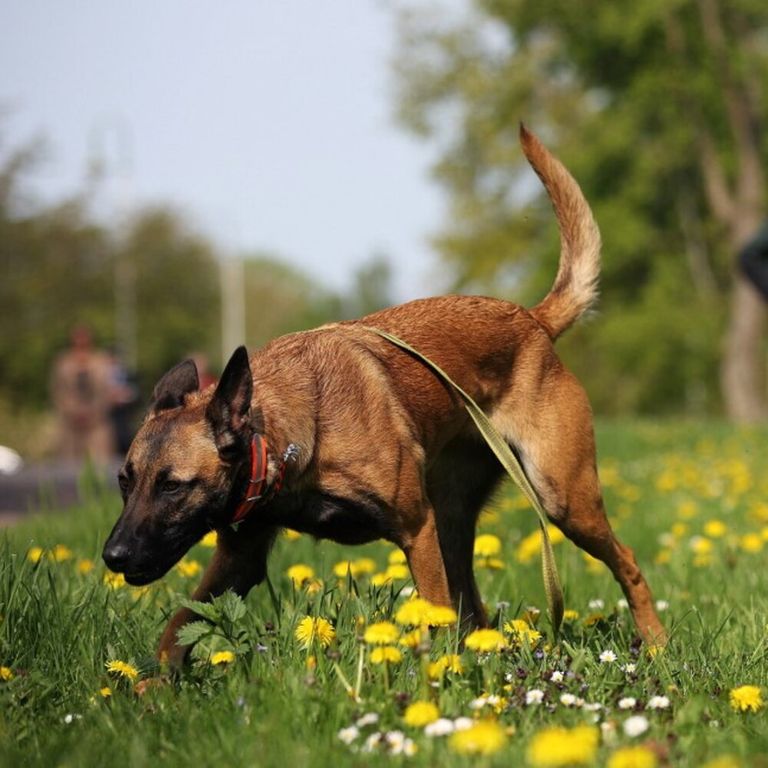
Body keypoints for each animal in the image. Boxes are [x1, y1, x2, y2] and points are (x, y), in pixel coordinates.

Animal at [102, 127, 664, 664]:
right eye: (124, 481)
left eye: (173, 486)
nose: (113, 556)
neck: (296, 438)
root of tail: (532, 320)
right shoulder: (240, 558)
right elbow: (176, 632)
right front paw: (148, 688)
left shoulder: (416, 529)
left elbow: (430, 616)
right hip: (455, 521)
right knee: (475, 610)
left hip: (561, 499)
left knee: (627, 563)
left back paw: (655, 643)